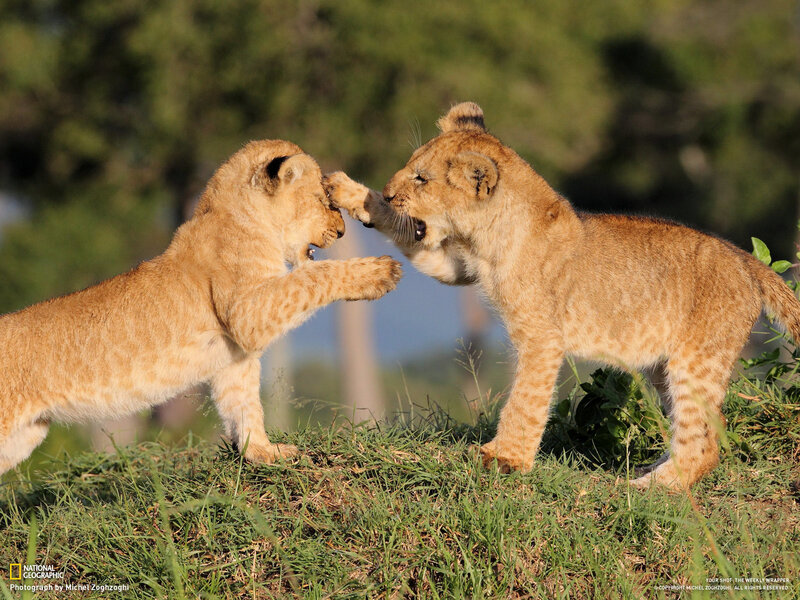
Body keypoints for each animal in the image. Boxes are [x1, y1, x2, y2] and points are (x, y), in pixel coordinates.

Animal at [0, 139, 402, 475]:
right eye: (323, 199)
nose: (343, 232)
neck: (241, 217)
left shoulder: (234, 353)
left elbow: (244, 403)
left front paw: (263, 453)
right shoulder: (248, 313)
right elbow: (312, 276)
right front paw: (379, 272)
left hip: (23, 437)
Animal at [324, 102, 800, 489]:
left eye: (422, 178)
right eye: (409, 167)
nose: (390, 191)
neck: (484, 234)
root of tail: (744, 258)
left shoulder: (541, 337)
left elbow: (526, 399)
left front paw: (504, 459)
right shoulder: (455, 268)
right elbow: (406, 235)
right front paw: (350, 192)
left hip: (698, 360)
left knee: (703, 442)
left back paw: (654, 488)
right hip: (665, 367)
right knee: (703, 428)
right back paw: (651, 472)